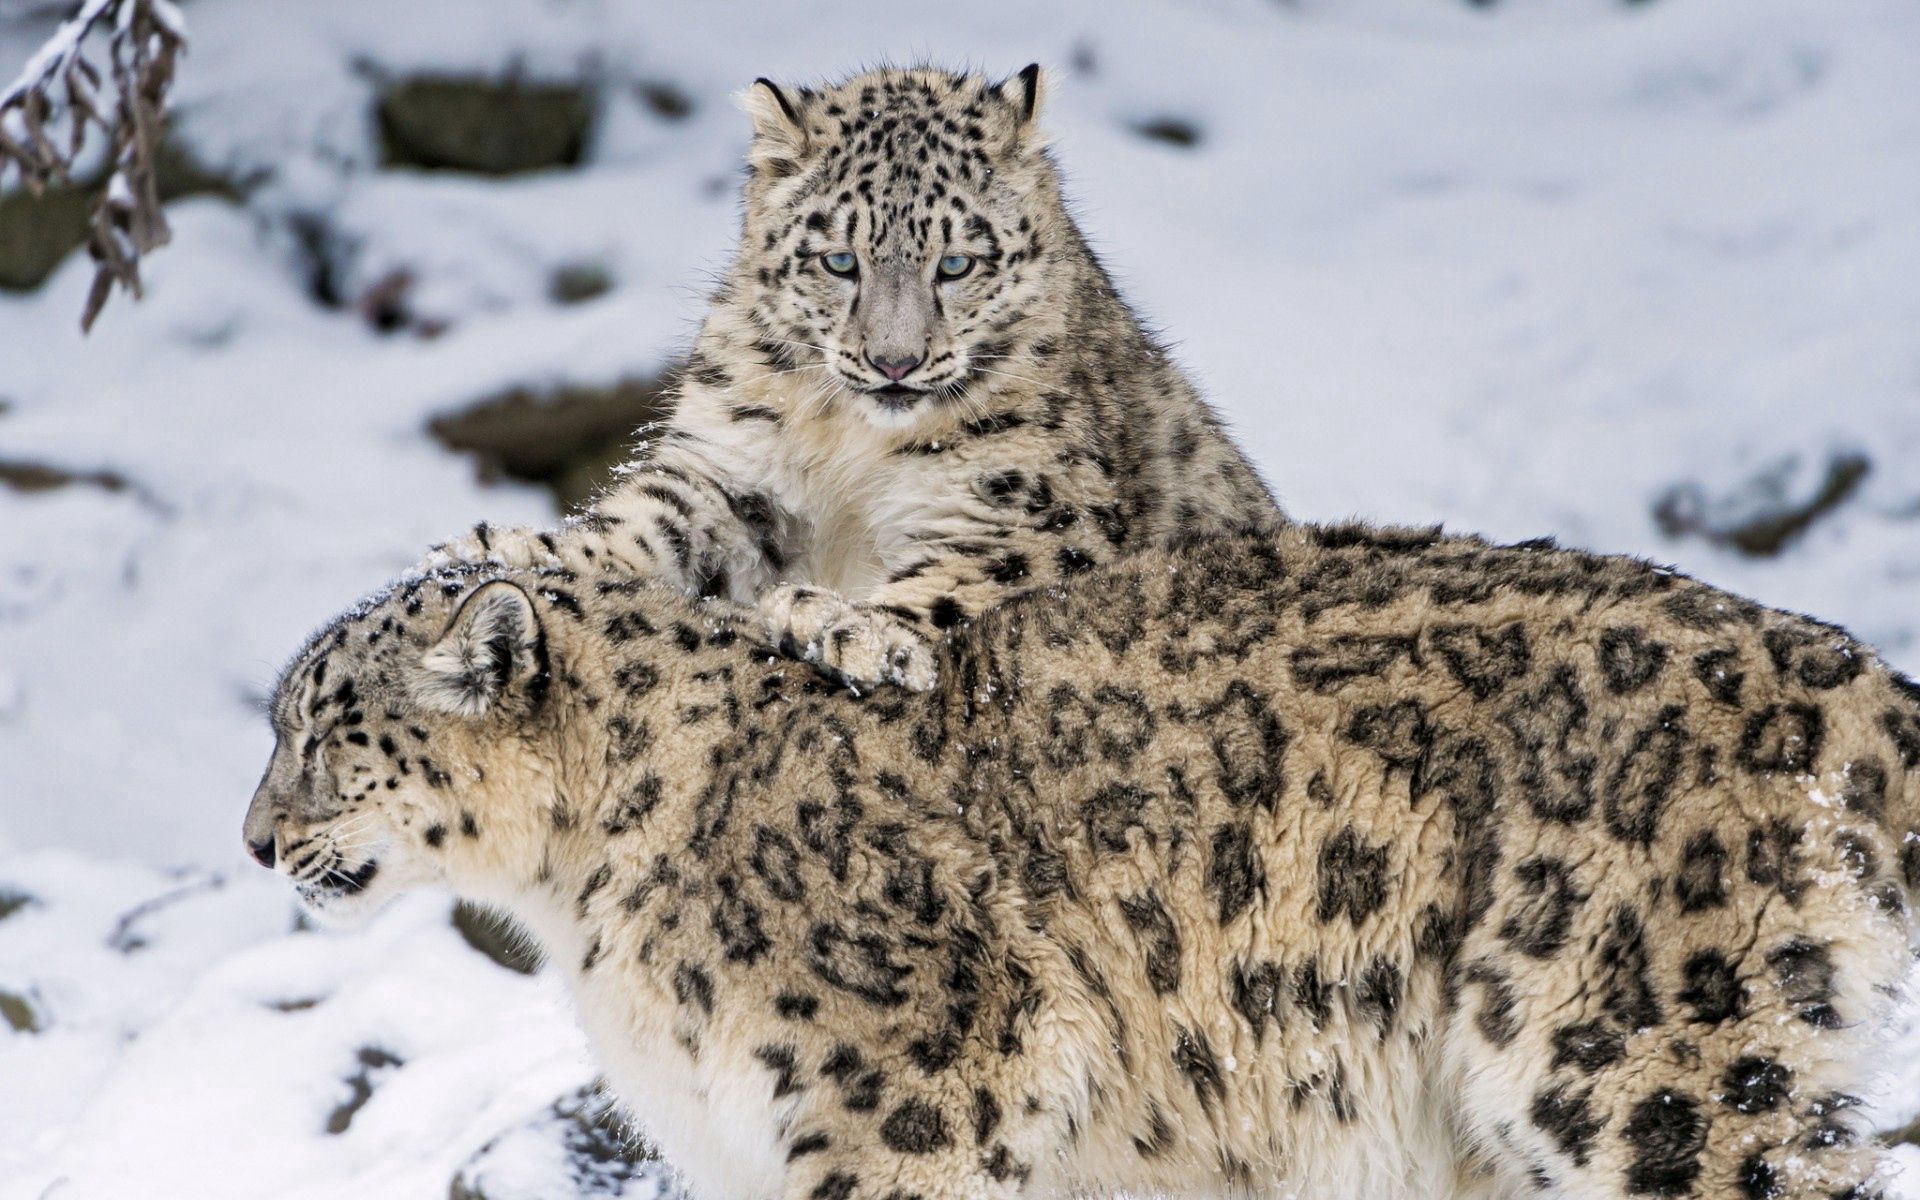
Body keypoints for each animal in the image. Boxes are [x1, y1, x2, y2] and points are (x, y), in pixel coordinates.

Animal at [433, 65, 1274, 691]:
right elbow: (649, 521)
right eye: (840, 260)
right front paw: (511, 545)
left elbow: (971, 577)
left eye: (957, 263)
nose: (893, 361)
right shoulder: (732, 470)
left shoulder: (1039, 511)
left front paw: (849, 626)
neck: (850, 444)